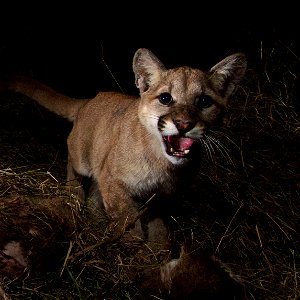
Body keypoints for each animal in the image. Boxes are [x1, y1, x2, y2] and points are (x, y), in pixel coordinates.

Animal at [0, 48, 246, 247]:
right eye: (165, 98)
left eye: (204, 101)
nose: (184, 124)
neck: (164, 164)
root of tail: (90, 99)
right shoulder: (113, 180)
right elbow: (128, 218)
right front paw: (133, 245)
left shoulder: (163, 197)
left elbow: (158, 226)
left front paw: (158, 250)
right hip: (83, 157)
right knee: (73, 162)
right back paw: (74, 191)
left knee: (93, 193)